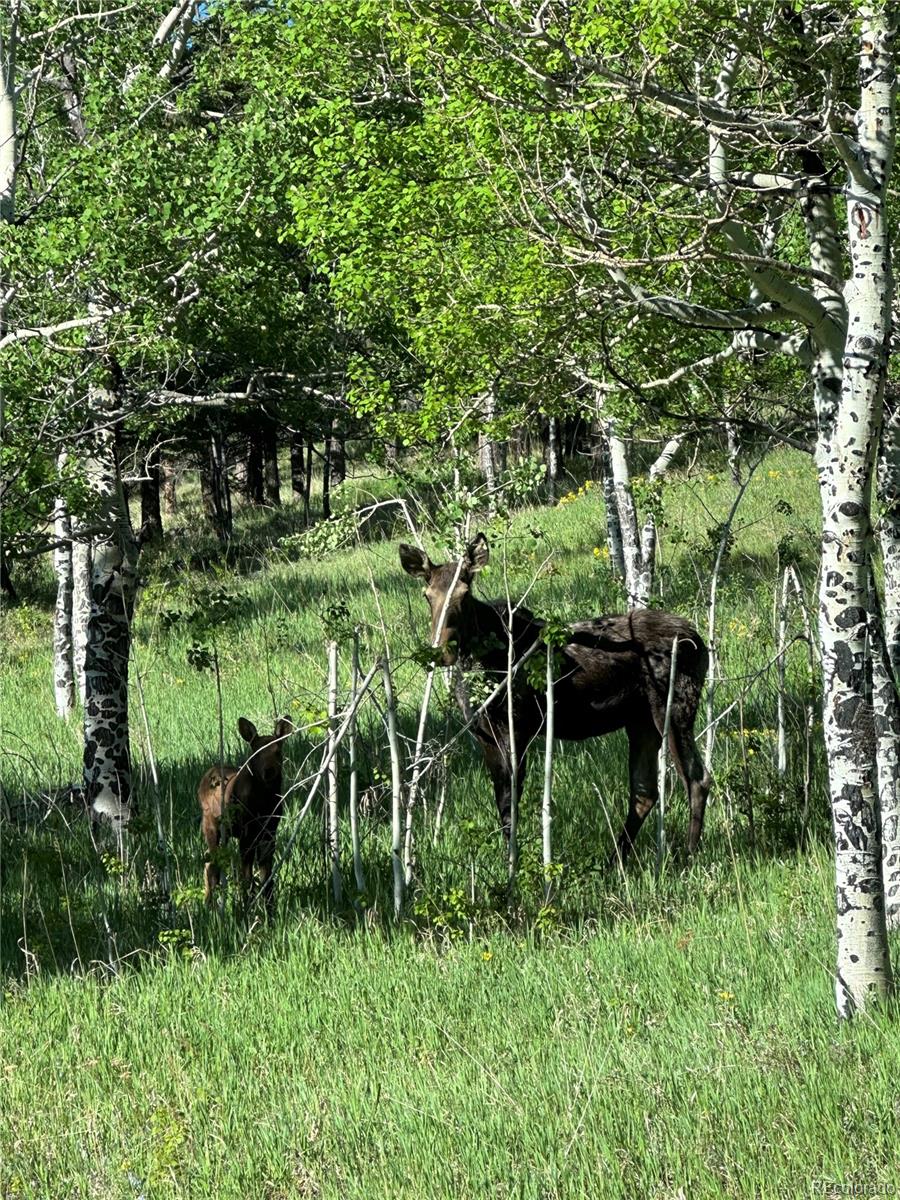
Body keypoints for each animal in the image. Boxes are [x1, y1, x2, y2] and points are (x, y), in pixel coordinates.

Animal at [200, 715, 292, 902]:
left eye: (278, 752)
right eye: (256, 753)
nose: (268, 771)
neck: (264, 802)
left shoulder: (270, 832)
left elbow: (267, 878)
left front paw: (269, 905)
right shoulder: (246, 833)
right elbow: (247, 876)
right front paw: (246, 904)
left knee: (210, 862)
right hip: (211, 826)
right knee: (212, 864)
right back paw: (208, 903)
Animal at [400, 535, 710, 864]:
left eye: (465, 593)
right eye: (427, 595)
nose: (441, 651)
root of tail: (699, 640)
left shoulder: (517, 726)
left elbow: (511, 803)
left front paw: (515, 864)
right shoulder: (483, 733)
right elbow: (502, 801)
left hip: (674, 706)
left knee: (697, 778)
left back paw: (688, 857)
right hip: (640, 720)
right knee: (645, 790)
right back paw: (616, 860)